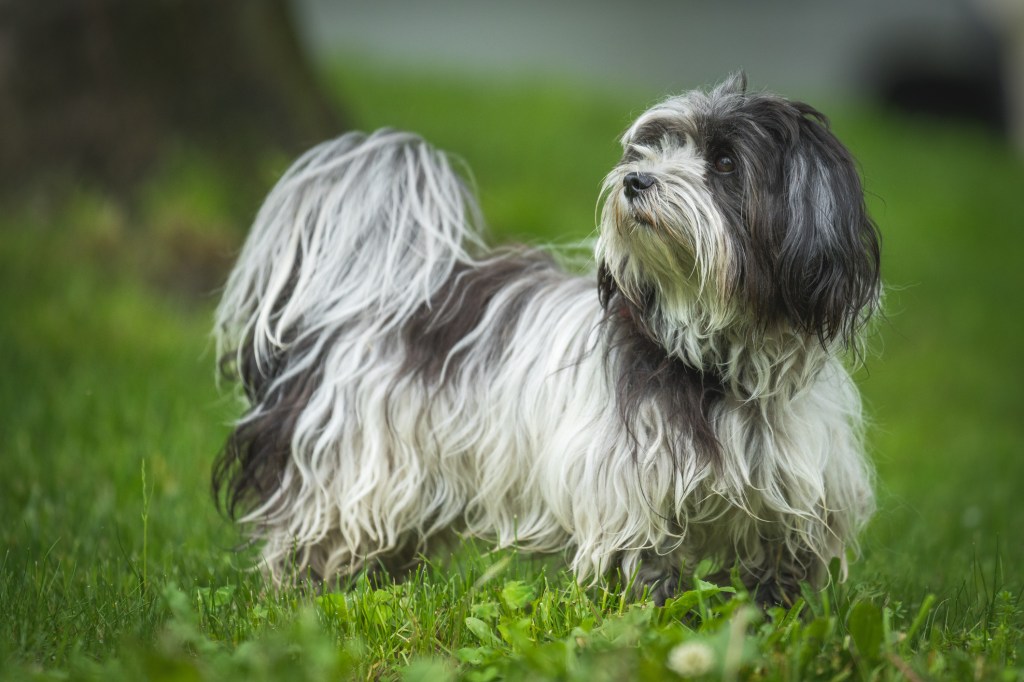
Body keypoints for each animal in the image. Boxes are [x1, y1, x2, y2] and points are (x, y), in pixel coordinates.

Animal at [214, 73, 880, 606]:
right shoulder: (628, 494)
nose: (636, 180)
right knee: (315, 534)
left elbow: (777, 577)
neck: (715, 358)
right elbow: (648, 573)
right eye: (654, 147)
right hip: (356, 469)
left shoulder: (796, 498)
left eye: (723, 163)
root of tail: (369, 293)